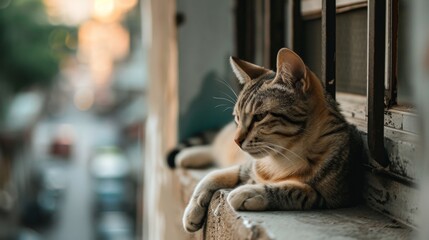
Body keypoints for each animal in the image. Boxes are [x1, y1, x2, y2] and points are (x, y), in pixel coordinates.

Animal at [177, 47, 362, 232]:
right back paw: (187, 156)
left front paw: (250, 192)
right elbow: (211, 177)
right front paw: (192, 210)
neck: (281, 160)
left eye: (260, 116)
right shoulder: (246, 167)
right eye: (237, 117)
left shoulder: (333, 196)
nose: (237, 141)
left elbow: (294, 190)